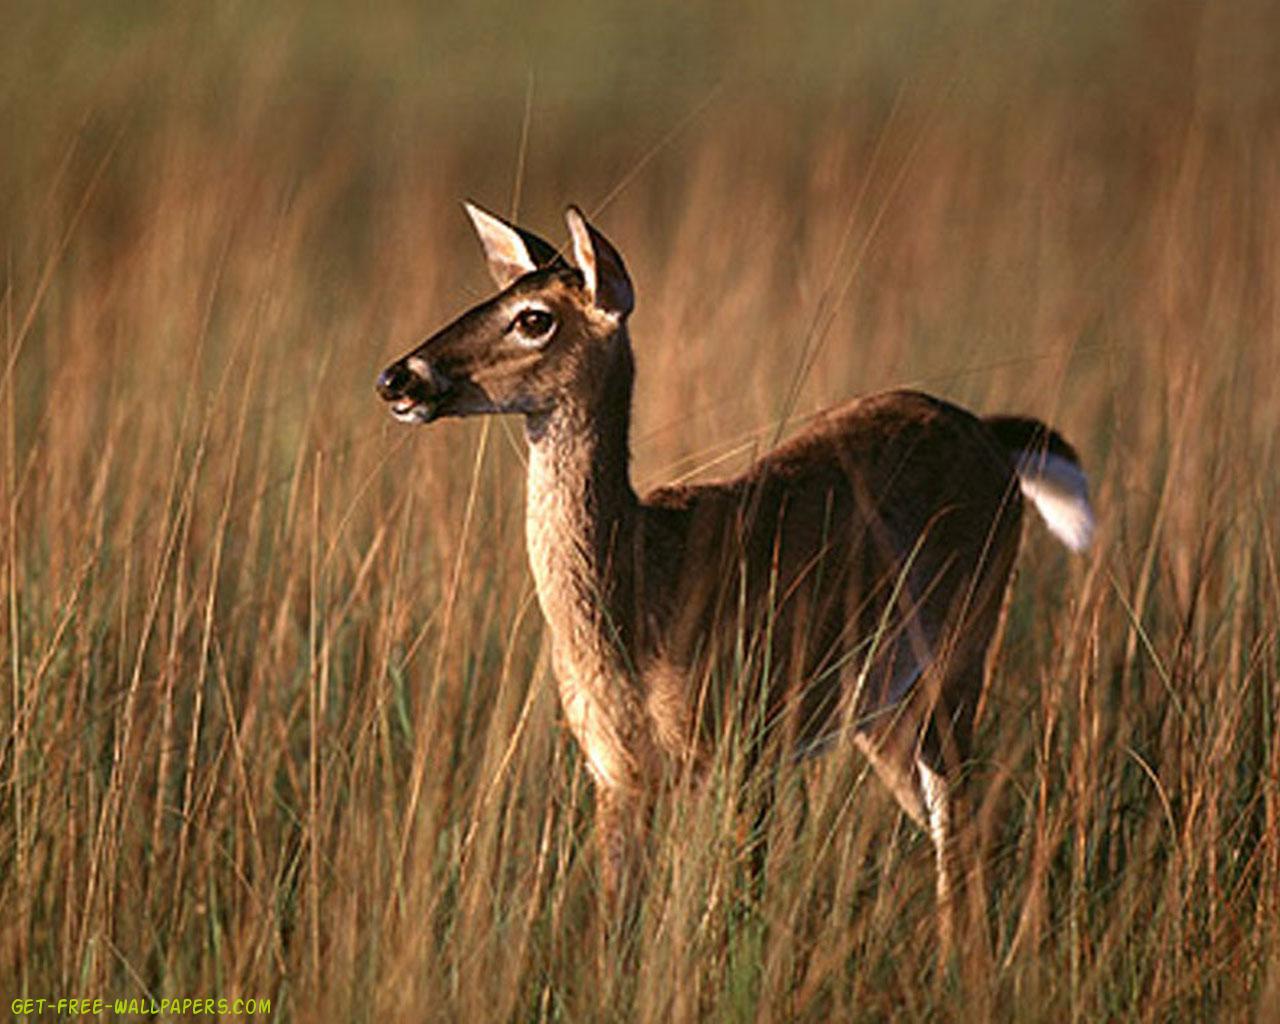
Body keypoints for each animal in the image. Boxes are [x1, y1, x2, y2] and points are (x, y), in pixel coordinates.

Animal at [376, 202, 1095, 952]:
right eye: (492, 296)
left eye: (534, 317)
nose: (399, 377)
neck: (642, 594)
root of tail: (992, 437)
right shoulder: (613, 773)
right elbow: (616, 926)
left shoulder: (746, 743)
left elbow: (735, 914)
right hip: (881, 708)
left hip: (961, 652)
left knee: (962, 831)